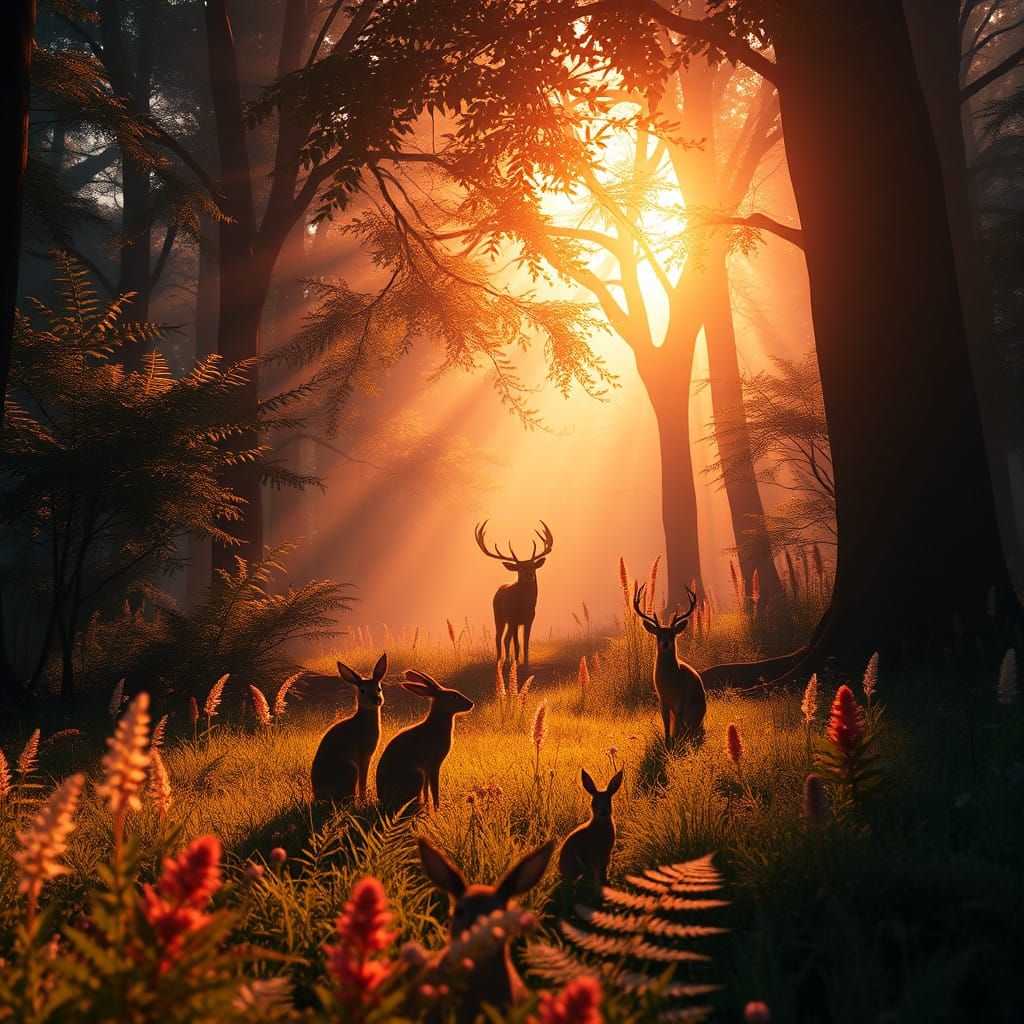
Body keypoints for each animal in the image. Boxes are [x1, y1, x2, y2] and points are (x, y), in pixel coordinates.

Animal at [310, 653, 388, 802]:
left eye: (379, 688)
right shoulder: (364, 756)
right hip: (351, 769)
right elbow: (363, 781)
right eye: (362, 690)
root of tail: (321, 794)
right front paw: (364, 799)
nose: (376, 700)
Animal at [374, 670, 473, 812]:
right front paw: (436, 808)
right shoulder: (434, 765)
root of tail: (384, 800)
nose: (471, 703)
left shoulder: (427, 769)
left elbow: (427, 790)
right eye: (452, 696)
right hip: (417, 775)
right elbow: (434, 788)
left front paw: (429, 807)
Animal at [474, 519, 554, 669]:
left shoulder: (529, 619)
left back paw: (507, 660)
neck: (524, 607)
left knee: (506, 638)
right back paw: (500, 662)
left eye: (533, 566)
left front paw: (526, 664)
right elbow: (516, 644)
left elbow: (525, 644)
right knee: (499, 638)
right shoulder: (514, 619)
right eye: (520, 568)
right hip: (499, 616)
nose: (529, 575)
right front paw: (516, 664)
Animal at [633, 582, 707, 747]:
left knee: (690, 728)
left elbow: (678, 727)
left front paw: (675, 745)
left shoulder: (681, 700)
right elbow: (666, 726)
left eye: (672, 634)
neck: (670, 685)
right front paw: (667, 743)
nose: (665, 644)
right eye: (658, 634)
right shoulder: (662, 701)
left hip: (696, 712)